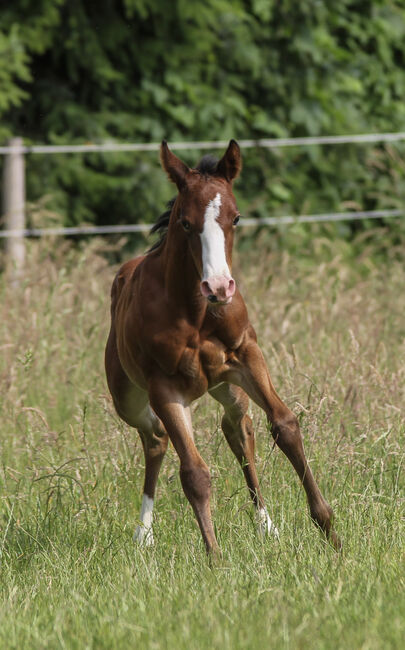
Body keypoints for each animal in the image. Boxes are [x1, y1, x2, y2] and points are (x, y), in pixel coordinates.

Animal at [105, 140, 340, 555]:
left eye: (236, 218)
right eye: (185, 222)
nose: (219, 286)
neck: (196, 311)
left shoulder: (247, 356)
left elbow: (285, 425)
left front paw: (329, 530)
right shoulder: (164, 387)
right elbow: (194, 473)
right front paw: (215, 558)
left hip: (227, 386)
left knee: (238, 429)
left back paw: (266, 525)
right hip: (128, 398)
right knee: (155, 437)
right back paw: (144, 533)